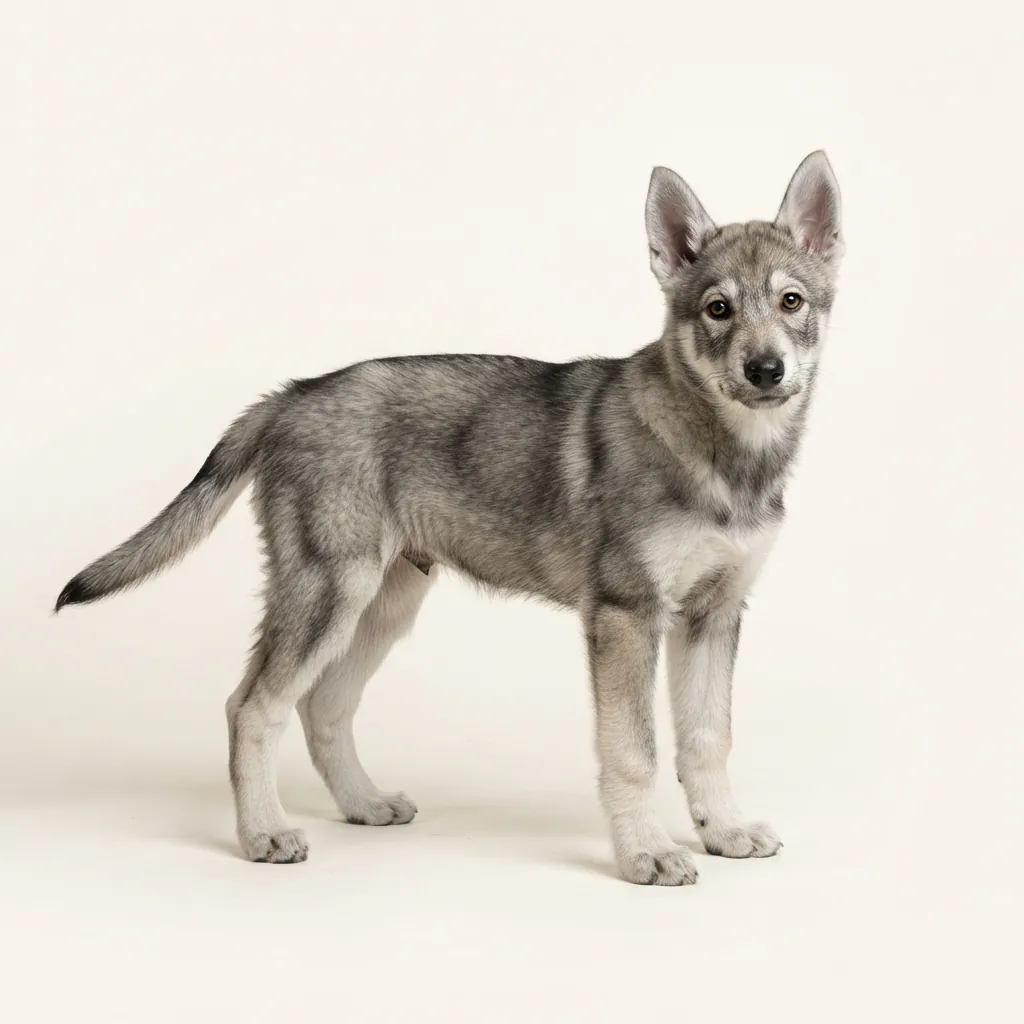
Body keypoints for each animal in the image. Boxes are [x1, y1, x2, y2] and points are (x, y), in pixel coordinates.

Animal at [56, 151, 843, 885]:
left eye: (792, 301)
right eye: (717, 309)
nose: (766, 370)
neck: (726, 454)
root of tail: (291, 395)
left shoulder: (715, 614)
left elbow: (709, 739)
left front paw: (724, 831)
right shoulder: (628, 615)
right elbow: (635, 753)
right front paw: (645, 852)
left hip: (383, 604)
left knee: (323, 707)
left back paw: (363, 804)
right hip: (328, 594)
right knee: (252, 707)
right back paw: (264, 835)